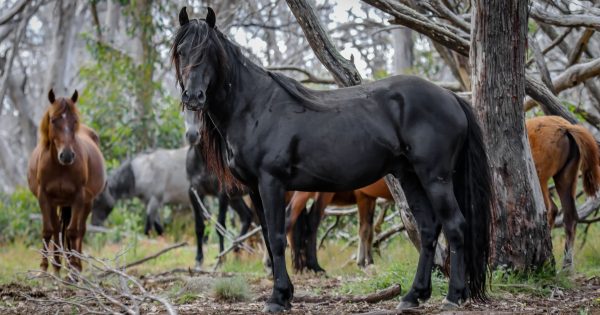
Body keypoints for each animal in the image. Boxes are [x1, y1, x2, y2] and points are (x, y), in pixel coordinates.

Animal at [27, 89, 106, 274]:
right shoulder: (44, 197)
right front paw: (43, 269)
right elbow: (47, 230)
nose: (67, 155)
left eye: (75, 120)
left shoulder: (78, 197)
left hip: (87, 202)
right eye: (53, 120)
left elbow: (72, 232)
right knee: (56, 228)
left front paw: (73, 269)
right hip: (57, 202)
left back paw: (75, 265)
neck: (60, 167)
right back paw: (56, 265)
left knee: (80, 230)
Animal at [173, 7, 492, 314]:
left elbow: (277, 236)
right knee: (427, 229)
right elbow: (267, 236)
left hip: (435, 177)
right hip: (410, 177)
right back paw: (414, 296)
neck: (255, 107)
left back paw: (453, 296)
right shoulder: (255, 189)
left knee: (455, 226)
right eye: (181, 52)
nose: (193, 96)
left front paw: (277, 298)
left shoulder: (271, 183)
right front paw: (285, 294)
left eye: (207, 52)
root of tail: (450, 97)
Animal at [528, 117, 600, 270]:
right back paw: (566, 267)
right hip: (566, 178)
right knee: (570, 216)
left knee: (550, 209)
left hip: (541, 178)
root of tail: (566, 127)